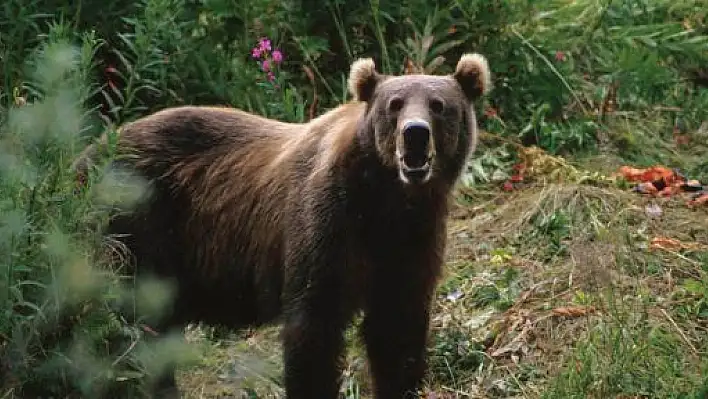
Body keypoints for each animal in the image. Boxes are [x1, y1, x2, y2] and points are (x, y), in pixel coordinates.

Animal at [73, 51, 492, 398]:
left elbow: (397, 327)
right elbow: (314, 328)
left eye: (439, 105)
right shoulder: (327, 223)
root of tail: (84, 156)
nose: (415, 134)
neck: (385, 199)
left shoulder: (412, 238)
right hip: (136, 226)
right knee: (125, 327)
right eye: (395, 104)